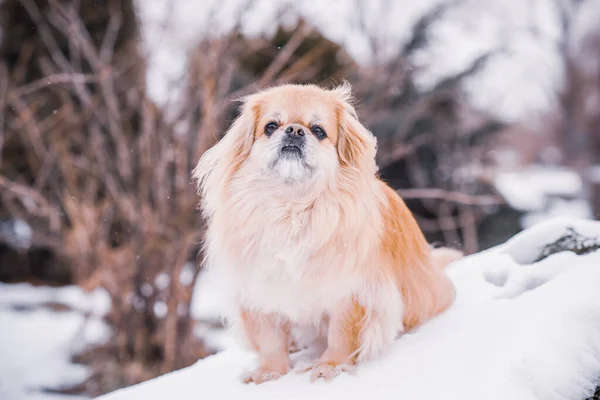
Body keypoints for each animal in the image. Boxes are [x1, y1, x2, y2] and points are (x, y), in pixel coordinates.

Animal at [192, 82, 460, 384]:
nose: (295, 130)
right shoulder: (258, 292)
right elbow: (270, 339)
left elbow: (342, 334)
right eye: (271, 126)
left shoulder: (351, 293)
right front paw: (269, 372)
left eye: (318, 131)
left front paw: (330, 366)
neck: (291, 210)